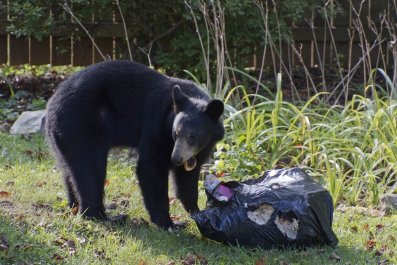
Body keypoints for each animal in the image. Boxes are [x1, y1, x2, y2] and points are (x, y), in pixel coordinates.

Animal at [44, 59, 224, 227]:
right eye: (176, 133)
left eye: (192, 136)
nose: (176, 159)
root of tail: (51, 103)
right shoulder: (156, 126)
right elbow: (151, 167)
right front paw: (169, 223)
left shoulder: (202, 147)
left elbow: (187, 177)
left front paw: (197, 212)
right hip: (81, 125)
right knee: (90, 169)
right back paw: (104, 216)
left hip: (63, 136)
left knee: (69, 169)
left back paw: (74, 205)